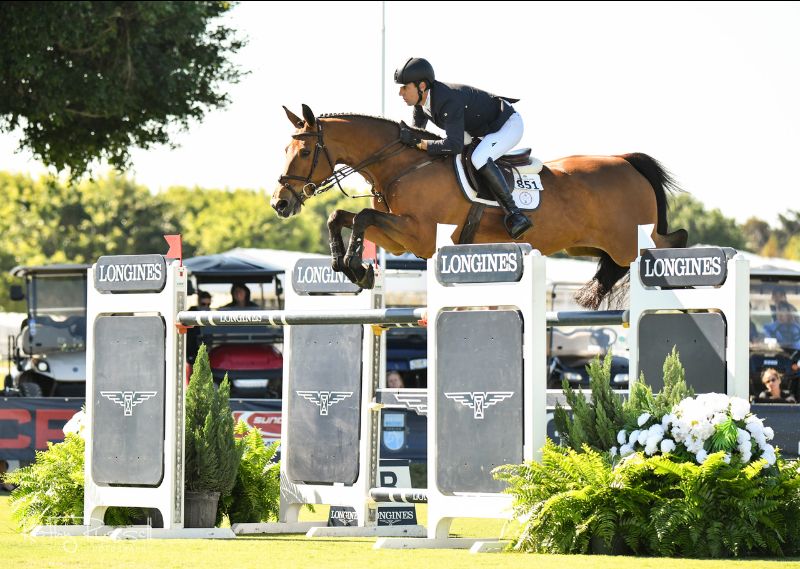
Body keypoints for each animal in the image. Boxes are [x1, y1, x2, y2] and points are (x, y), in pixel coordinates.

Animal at [272, 106, 684, 310]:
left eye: (304, 152)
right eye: (285, 149)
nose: (281, 203)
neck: (402, 165)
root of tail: (626, 161)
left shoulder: (420, 236)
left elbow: (361, 216)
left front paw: (356, 267)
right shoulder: (398, 241)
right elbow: (341, 217)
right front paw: (349, 267)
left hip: (629, 241)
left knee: (670, 244)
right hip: (590, 245)